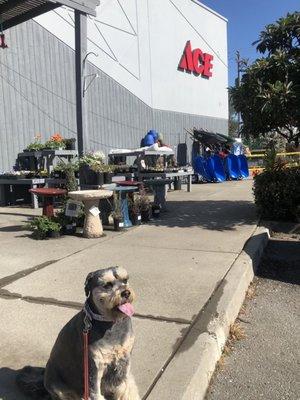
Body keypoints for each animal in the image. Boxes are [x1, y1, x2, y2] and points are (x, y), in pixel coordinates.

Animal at [17, 266, 141, 400]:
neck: (111, 323)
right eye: (107, 285)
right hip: (57, 386)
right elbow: (96, 393)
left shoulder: (124, 360)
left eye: (125, 280)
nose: (126, 293)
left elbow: (126, 388)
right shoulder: (93, 367)